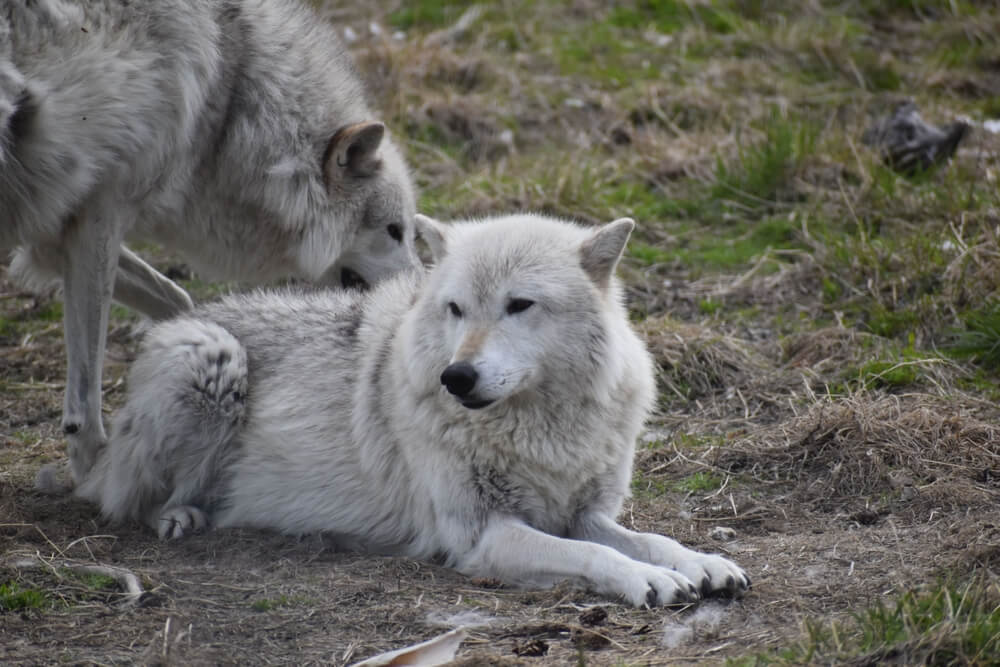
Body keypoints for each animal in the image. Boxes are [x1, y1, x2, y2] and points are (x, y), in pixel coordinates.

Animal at [0, 0, 420, 484]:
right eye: (395, 230)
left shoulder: (57, 233)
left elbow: (177, 299)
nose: (419, 291)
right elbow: (87, 381)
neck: (229, 102)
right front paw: (93, 467)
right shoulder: (99, 215)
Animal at [77, 212, 750, 607]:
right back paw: (180, 517)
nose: (457, 377)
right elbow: (598, 555)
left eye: (520, 305)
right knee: (128, 498)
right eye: (455, 308)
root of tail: (189, 315)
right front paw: (649, 581)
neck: (538, 430)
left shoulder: (584, 512)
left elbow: (647, 537)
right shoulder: (482, 534)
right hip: (212, 358)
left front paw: (702, 563)